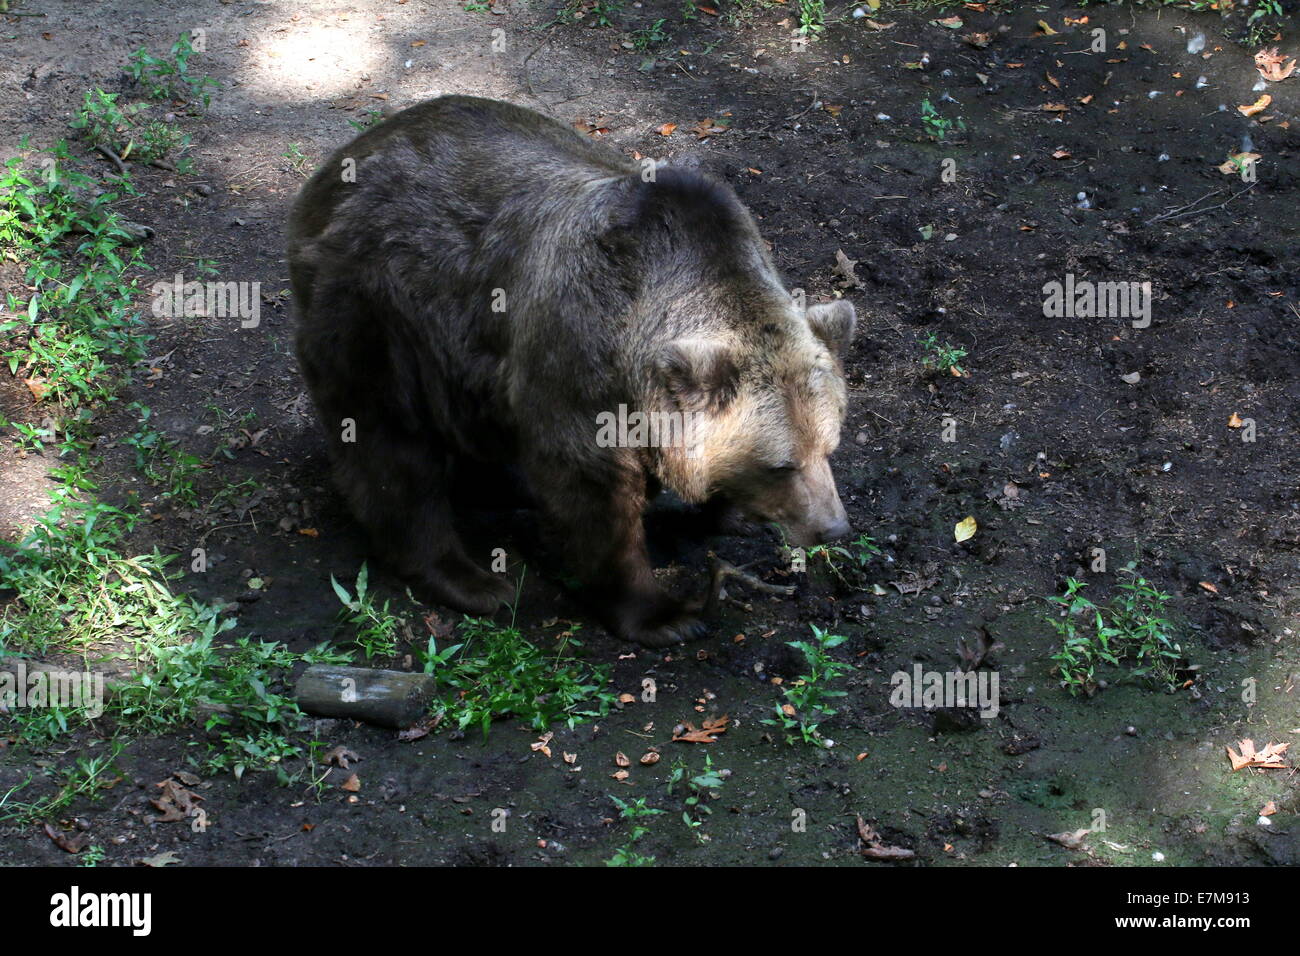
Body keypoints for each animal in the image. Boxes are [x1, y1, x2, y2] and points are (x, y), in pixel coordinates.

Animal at [287, 97, 852, 647]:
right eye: (781, 464)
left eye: (827, 449)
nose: (833, 529)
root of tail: (334, 167)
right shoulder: (580, 355)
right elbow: (594, 493)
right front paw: (665, 614)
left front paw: (730, 514)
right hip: (380, 310)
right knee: (390, 445)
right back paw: (471, 580)